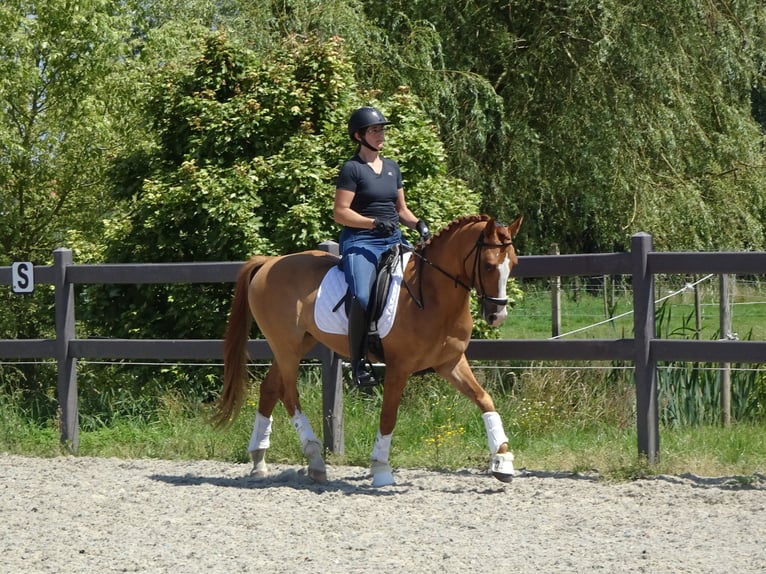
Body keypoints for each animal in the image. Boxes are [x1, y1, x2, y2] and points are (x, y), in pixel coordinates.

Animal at [219, 214, 524, 488]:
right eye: (488, 266)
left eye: (514, 264)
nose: (497, 316)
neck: (432, 295)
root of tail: (269, 262)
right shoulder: (399, 367)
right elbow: (389, 416)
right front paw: (381, 469)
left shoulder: (450, 362)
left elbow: (485, 399)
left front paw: (503, 462)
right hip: (287, 347)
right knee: (289, 394)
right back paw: (315, 460)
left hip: (294, 346)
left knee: (270, 389)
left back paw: (259, 461)